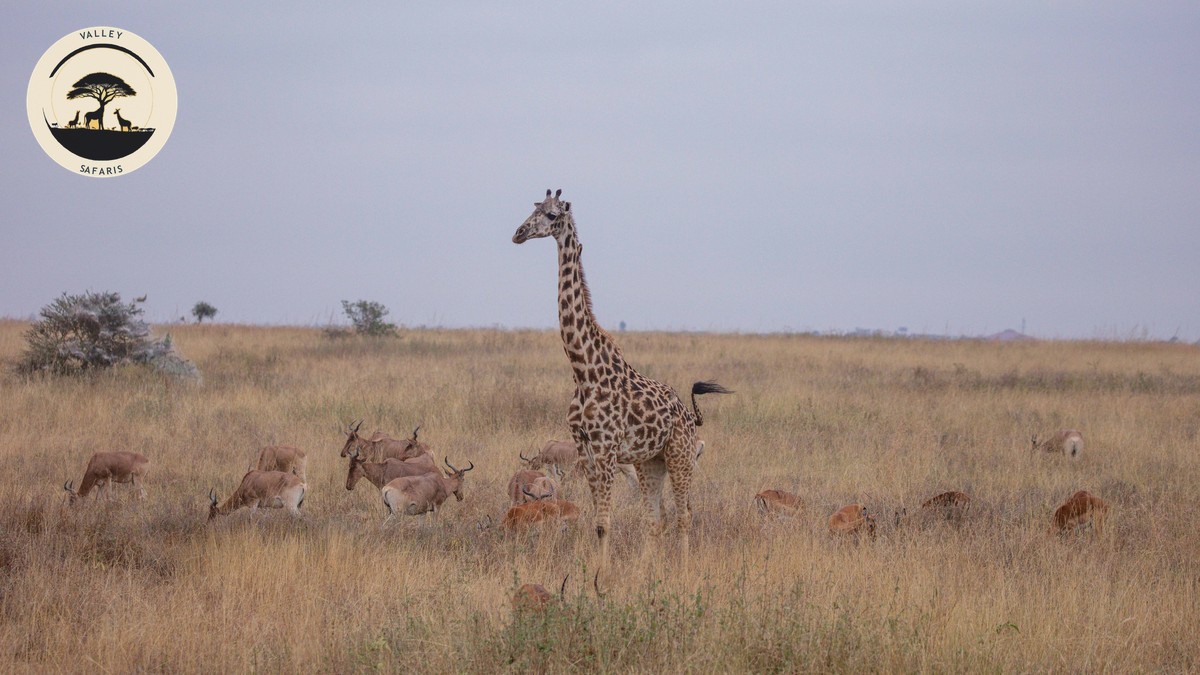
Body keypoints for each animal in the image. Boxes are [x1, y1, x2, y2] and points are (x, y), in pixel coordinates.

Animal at [512, 189, 732, 563]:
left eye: (553, 215)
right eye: (533, 209)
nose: (519, 233)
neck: (583, 370)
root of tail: (690, 417)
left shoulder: (605, 450)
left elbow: (604, 524)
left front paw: (602, 575)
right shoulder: (585, 449)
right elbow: (599, 522)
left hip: (680, 456)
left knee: (685, 515)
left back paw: (683, 568)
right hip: (650, 462)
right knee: (656, 518)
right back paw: (647, 569)